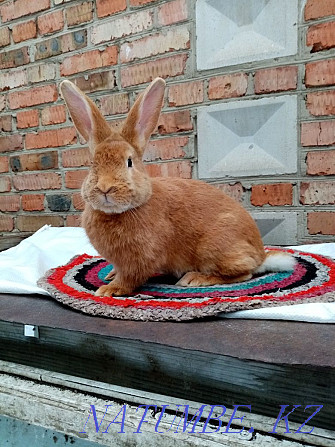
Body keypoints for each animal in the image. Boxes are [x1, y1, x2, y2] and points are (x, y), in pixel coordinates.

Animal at [61, 78, 296, 298]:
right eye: (93, 163)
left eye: (129, 162)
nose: (105, 188)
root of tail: (261, 256)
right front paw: (110, 275)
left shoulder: (139, 259)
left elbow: (130, 278)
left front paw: (109, 289)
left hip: (214, 248)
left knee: (243, 273)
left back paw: (195, 278)